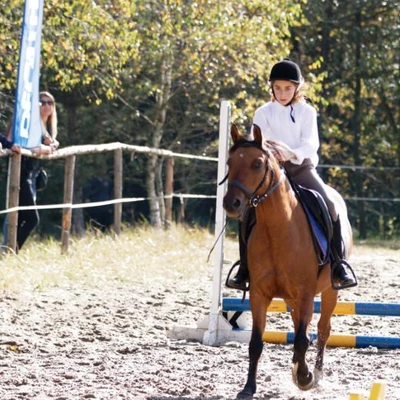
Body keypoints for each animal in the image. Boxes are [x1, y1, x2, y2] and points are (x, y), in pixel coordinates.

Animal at [222, 124, 354, 396]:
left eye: (257, 164)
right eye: (230, 162)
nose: (231, 203)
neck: (278, 229)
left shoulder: (305, 293)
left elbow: (303, 339)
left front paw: (304, 378)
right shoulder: (259, 294)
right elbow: (256, 342)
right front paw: (248, 388)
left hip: (329, 292)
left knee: (322, 329)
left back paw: (316, 374)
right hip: (293, 299)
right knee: (298, 327)